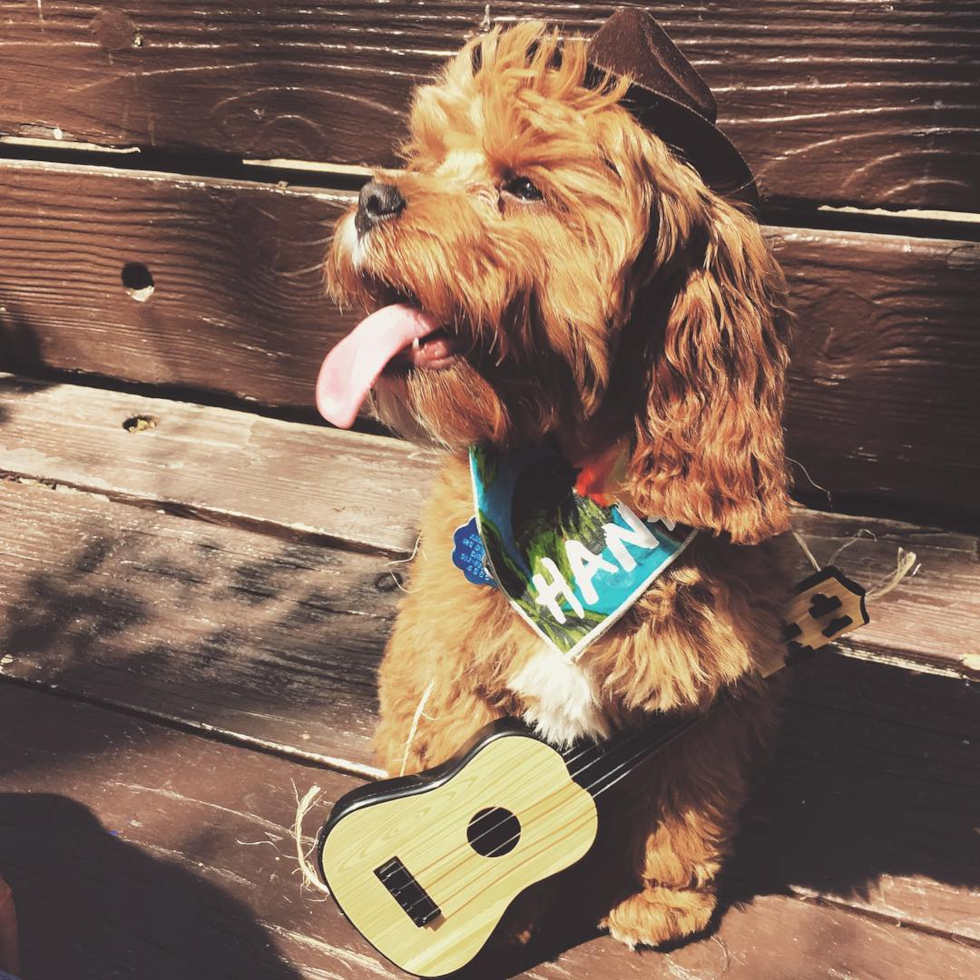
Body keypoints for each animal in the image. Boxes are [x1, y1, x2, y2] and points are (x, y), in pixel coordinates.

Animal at [318, 11, 792, 952]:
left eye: (524, 188)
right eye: (428, 156)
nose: (371, 198)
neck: (566, 493)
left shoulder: (713, 693)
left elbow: (688, 803)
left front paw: (663, 896)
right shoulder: (449, 666)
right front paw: (495, 908)